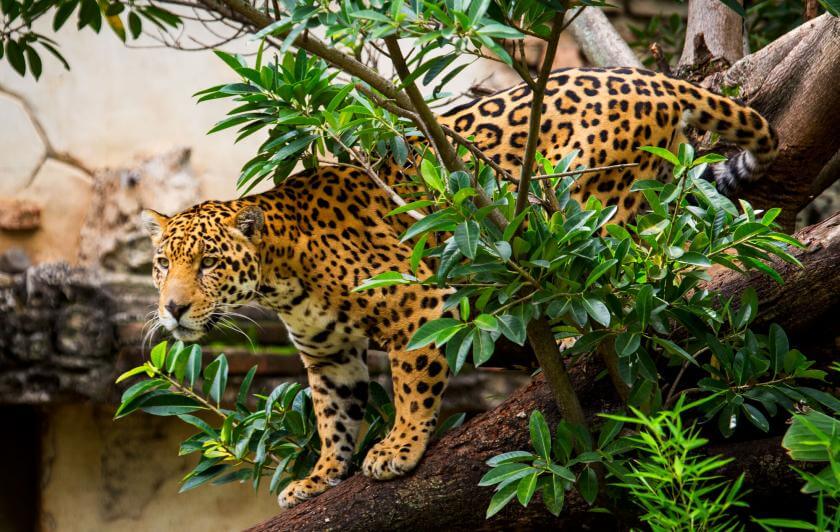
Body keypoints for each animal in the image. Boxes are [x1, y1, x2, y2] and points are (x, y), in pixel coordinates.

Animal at [140, 67, 778, 509]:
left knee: (630, 270)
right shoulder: (328, 356)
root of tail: (651, 78)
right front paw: (320, 477)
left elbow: (411, 383)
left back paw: (583, 338)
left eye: (209, 264)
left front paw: (399, 448)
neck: (280, 277)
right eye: (161, 264)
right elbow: (332, 417)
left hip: (589, 201)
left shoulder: (416, 304)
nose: (172, 310)